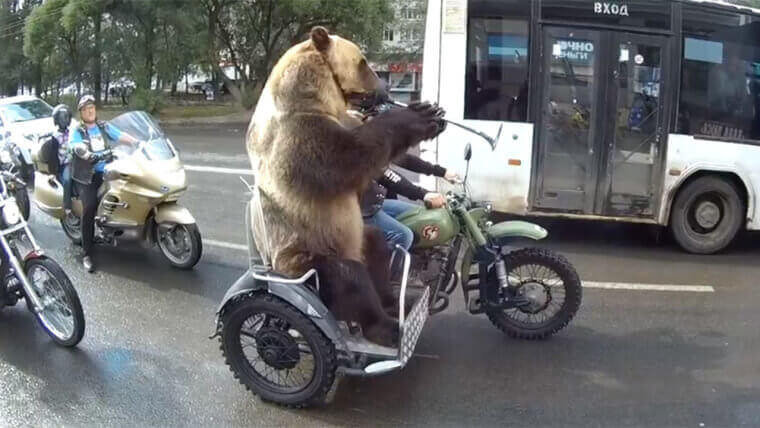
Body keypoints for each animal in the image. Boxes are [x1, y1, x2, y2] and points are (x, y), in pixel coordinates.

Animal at [246, 26, 443, 346]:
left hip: (355, 238)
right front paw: (420, 115)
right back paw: (386, 327)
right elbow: (349, 157)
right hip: (305, 255)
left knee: (376, 248)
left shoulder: (340, 119)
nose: (384, 90)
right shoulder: (297, 137)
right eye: (363, 62)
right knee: (348, 279)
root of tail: (270, 270)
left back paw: (391, 300)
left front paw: (429, 112)